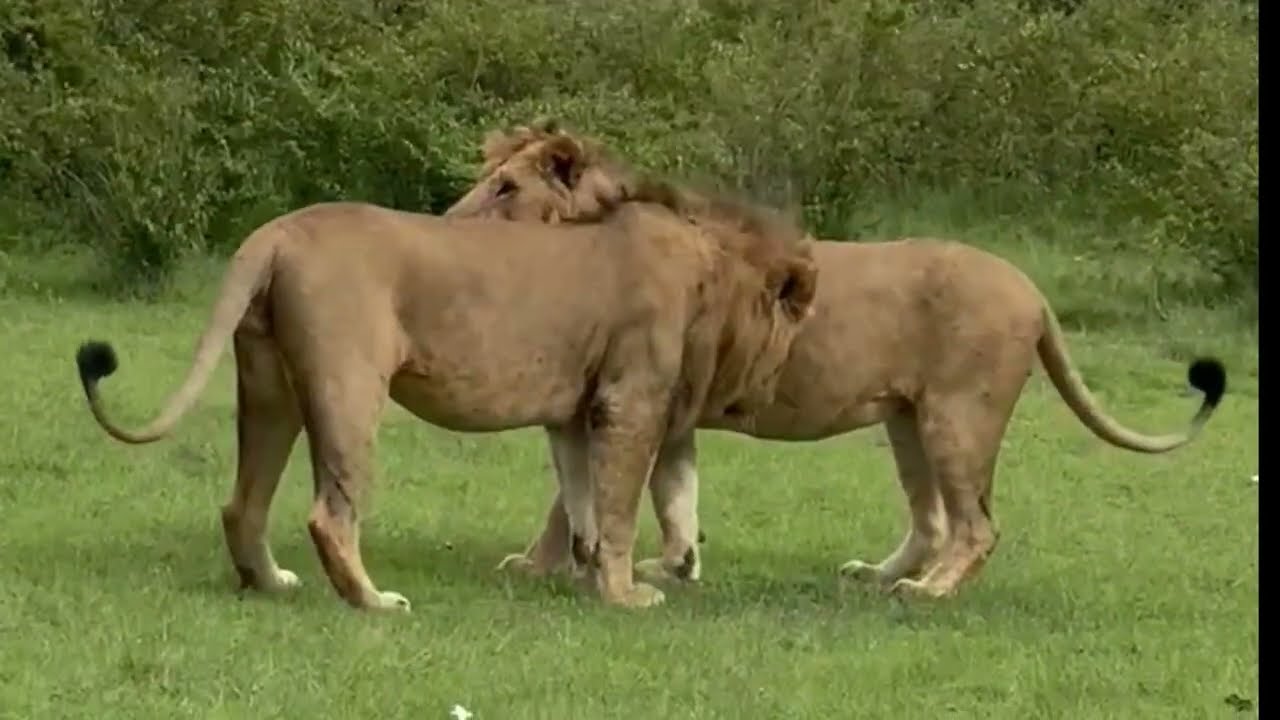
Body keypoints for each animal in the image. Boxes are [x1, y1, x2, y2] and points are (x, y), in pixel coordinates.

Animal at [72, 166, 820, 612]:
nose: (769, 387)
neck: (709, 268)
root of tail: (278, 231)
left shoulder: (577, 410)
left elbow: (583, 500)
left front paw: (583, 575)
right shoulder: (627, 400)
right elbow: (616, 509)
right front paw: (624, 593)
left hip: (269, 387)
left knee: (241, 502)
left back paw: (268, 581)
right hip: (349, 383)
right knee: (329, 512)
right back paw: (373, 602)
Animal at [443, 119, 1228, 599]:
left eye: (507, 187)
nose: (446, 225)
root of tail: (1032, 290)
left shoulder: (636, 387)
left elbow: (584, 496)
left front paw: (553, 563)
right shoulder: (673, 404)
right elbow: (670, 492)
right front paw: (675, 562)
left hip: (958, 418)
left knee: (976, 524)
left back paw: (928, 591)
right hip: (908, 421)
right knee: (933, 520)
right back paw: (877, 574)